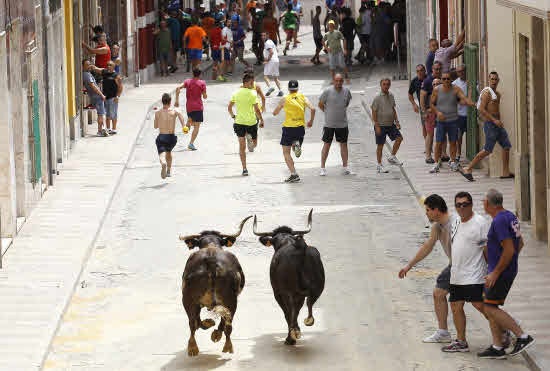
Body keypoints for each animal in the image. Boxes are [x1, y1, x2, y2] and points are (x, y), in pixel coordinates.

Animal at [179, 217, 252, 358]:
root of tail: (211, 260)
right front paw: (215, 331)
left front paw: (211, 327)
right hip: (230, 299)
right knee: (226, 324)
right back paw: (225, 344)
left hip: (189, 299)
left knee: (193, 322)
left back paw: (193, 347)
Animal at [256, 211, 328, 348]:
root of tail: (301, 247)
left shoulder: (278, 292)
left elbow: (288, 312)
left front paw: (291, 337)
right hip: (317, 288)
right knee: (309, 303)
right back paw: (306, 322)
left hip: (288, 291)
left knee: (291, 310)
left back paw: (293, 333)